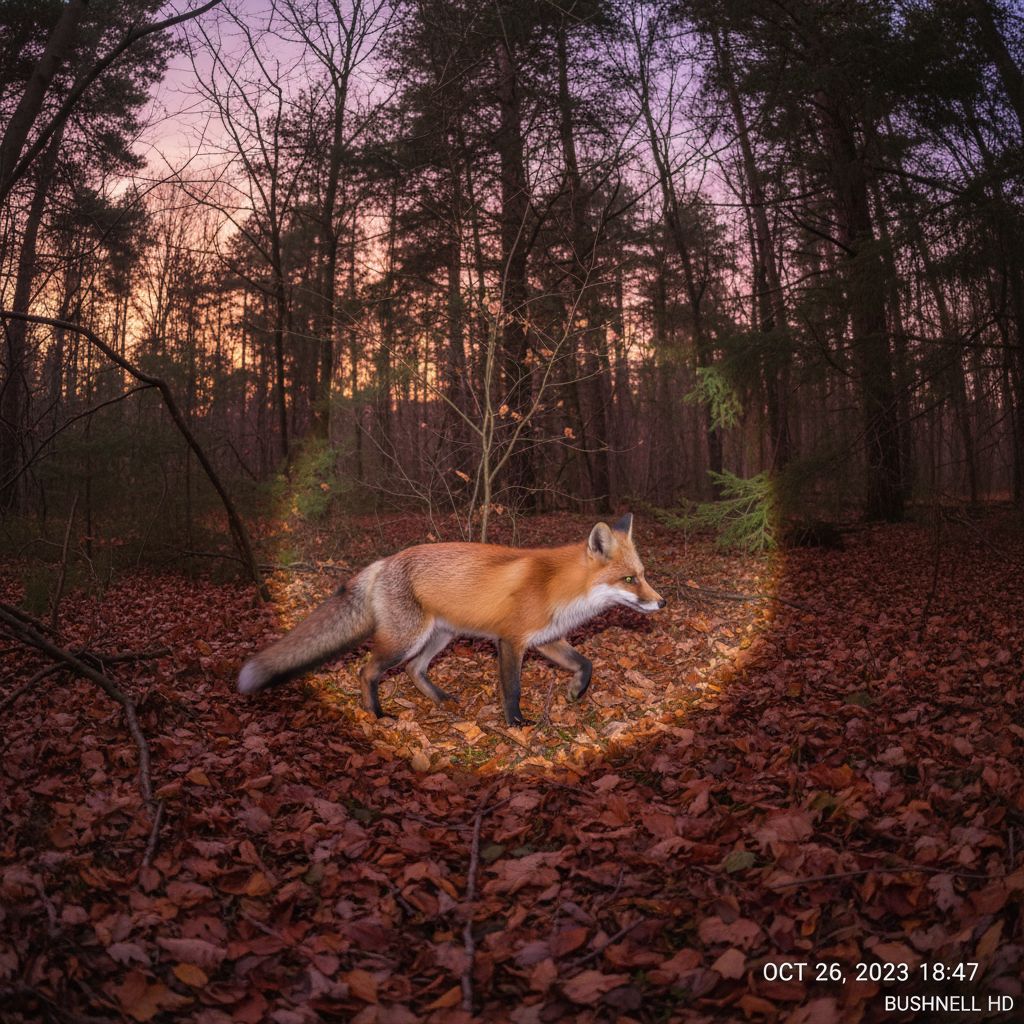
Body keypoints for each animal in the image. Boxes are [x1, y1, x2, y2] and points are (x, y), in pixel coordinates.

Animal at [237, 513, 665, 726]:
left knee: (414, 671)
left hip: (439, 638)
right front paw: (516, 724)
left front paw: (576, 692)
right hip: (404, 639)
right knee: (367, 671)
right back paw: (376, 714)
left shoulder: (546, 640)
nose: (660, 602)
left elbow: (586, 664)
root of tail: (384, 561)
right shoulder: (510, 641)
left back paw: (441, 699)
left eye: (643, 574)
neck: (558, 587)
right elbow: (512, 690)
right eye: (630, 580)